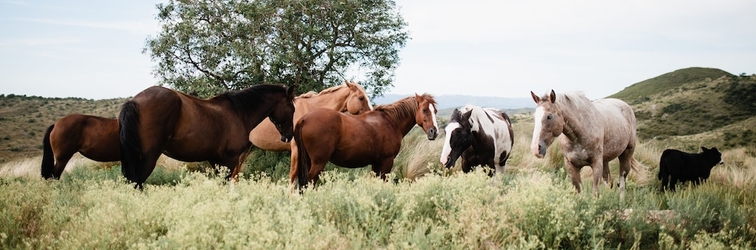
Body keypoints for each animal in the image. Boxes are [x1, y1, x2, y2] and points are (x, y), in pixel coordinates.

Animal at [119, 83, 296, 188]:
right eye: (292, 108)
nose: (288, 136)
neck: (239, 113)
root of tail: (134, 101)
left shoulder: (216, 161)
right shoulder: (229, 161)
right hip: (148, 158)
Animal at [290, 93, 442, 189]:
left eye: (435, 111)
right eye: (424, 110)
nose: (434, 132)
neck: (391, 122)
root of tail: (304, 119)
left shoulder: (376, 163)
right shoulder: (387, 161)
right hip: (318, 163)